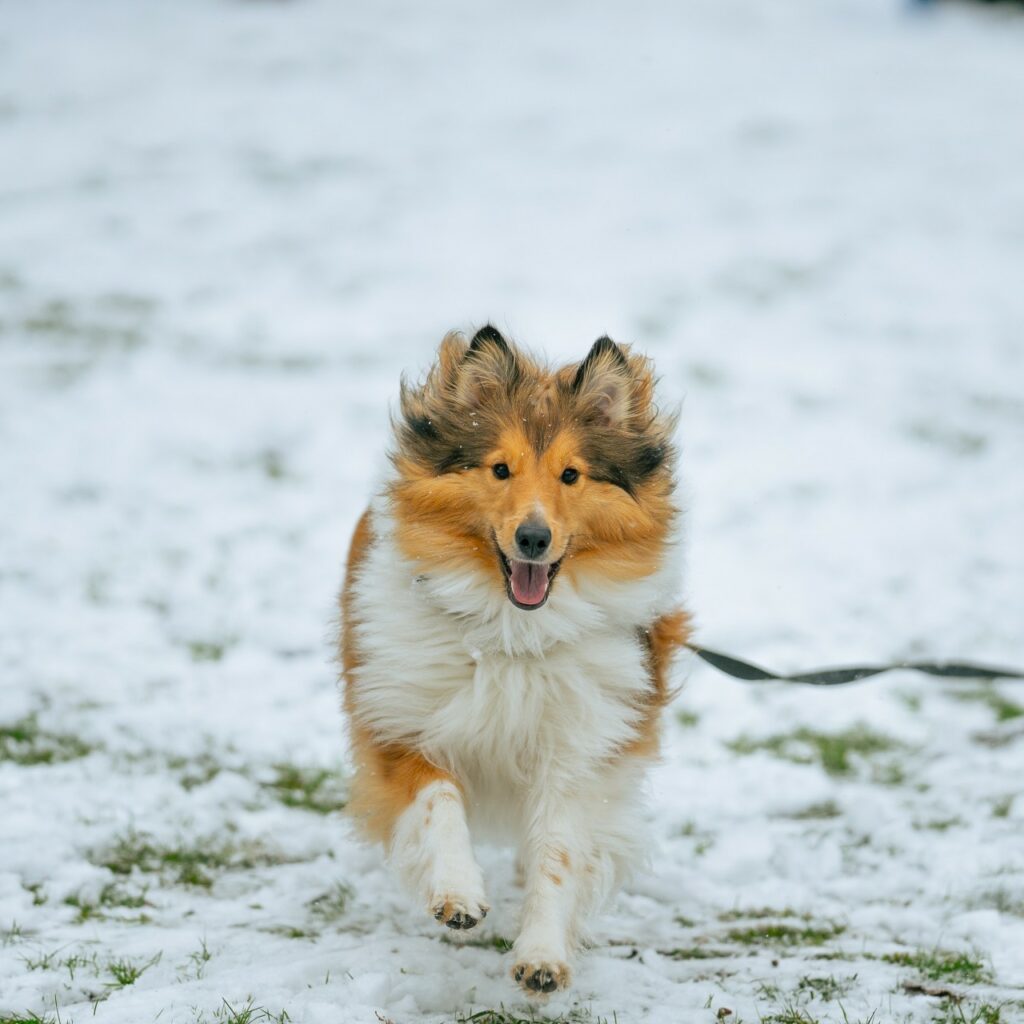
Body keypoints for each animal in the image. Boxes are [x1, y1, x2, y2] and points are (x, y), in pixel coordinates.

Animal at [337, 325, 688, 991]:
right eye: (500, 468)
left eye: (571, 475)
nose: (533, 538)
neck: (511, 635)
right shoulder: (401, 722)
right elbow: (439, 802)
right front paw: (457, 896)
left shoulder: (580, 752)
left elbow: (559, 854)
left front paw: (542, 956)